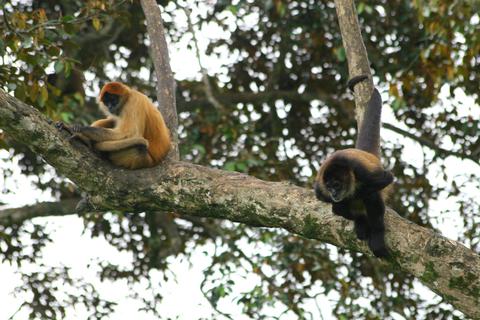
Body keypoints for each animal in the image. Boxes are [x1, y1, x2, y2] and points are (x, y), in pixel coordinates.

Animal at [316, 76, 394, 258]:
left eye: (337, 185)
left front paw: (351, 197)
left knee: (371, 196)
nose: (334, 193)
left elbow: (385, 178)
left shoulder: (359, 170)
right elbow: (325, 199)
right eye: (329, 186)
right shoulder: (321, 185)